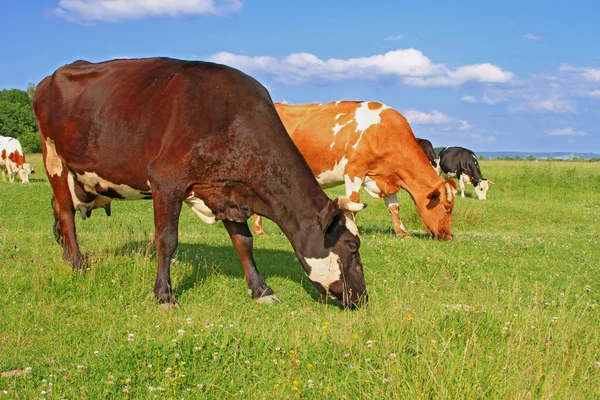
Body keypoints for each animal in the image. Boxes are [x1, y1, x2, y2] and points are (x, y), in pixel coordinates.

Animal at [36, 57, 370, 310]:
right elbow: (167, 240)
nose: (363, 297)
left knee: (59, 208)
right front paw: (164, 296)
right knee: (65, 211)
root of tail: (53, 76)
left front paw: (262, 290)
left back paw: (67, 255)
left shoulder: (228, 191)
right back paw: (77, 263)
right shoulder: (166, 179)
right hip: (52, 156)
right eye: (352, 247)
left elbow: (244, 242)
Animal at [253, 101, 454, 242]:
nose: (449, 236)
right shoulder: (353, 171)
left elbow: (394, 207)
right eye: (446, 207)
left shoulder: (386, 177)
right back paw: (259, 231)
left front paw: (402, 233)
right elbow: (353, 204)